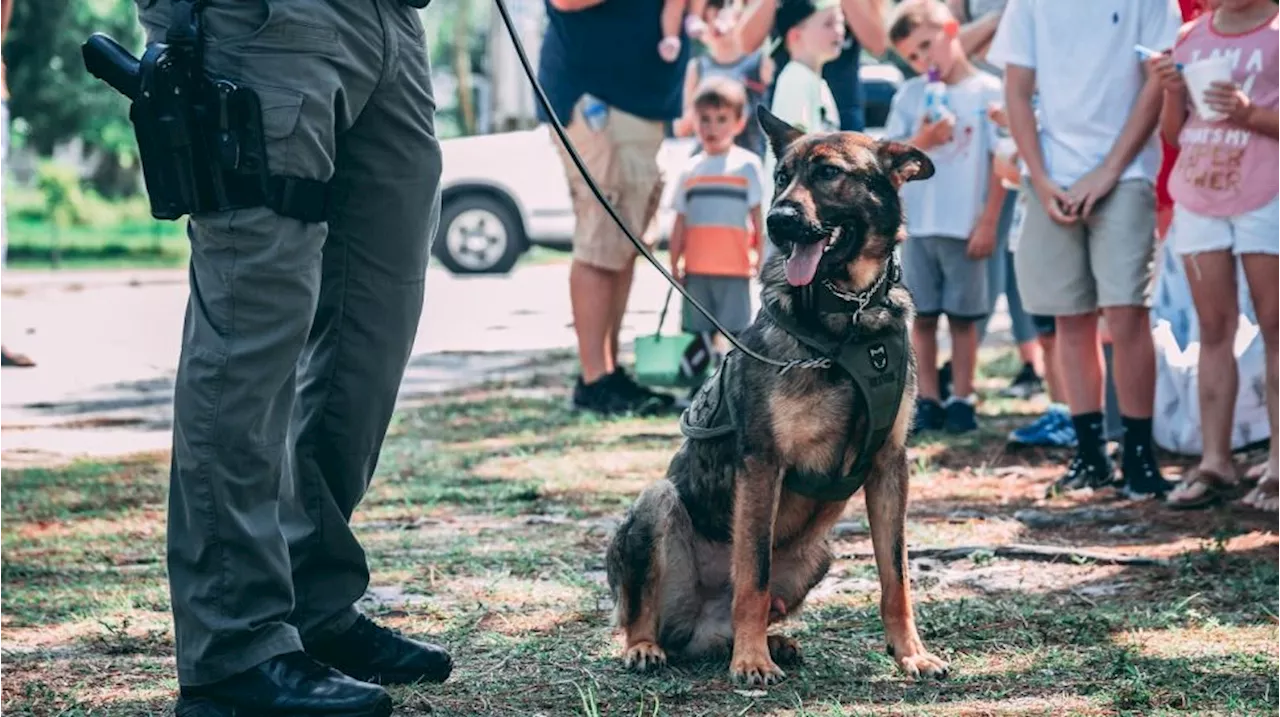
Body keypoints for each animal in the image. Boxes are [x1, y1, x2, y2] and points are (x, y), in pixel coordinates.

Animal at [601, 104, 952, 681]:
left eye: (829, 173)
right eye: (782, 176)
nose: (777, 221)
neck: (847, 317)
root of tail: (700, 627)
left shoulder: (889, 467)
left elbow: (895, 577)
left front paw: (911, 654)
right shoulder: (763, 464)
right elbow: (754, 574)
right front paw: (751, 661)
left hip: (820, 553)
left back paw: (771, 641)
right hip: (657, 503)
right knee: (642, 613)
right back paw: (651, 646)